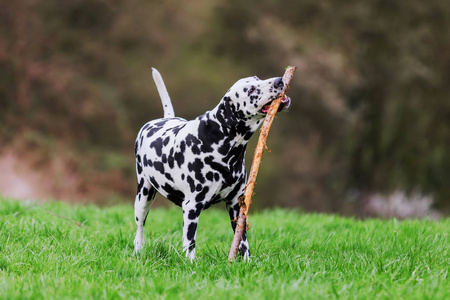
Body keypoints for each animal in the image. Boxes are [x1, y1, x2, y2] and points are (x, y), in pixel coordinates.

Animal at [132, 68, 290, 260]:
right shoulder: (192, 207)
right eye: (251, 89)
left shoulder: (237, 205)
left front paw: (246, 261)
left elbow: (242, 239)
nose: (279, 80)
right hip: (143, 197)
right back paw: (138, 250)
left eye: (257, 78)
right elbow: (190, 242)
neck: (218, 140)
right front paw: (191, 262)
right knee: (139, 229)